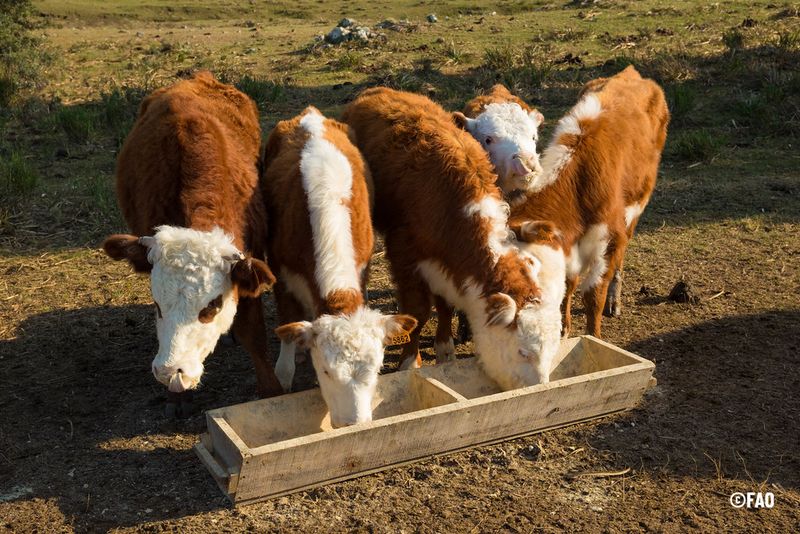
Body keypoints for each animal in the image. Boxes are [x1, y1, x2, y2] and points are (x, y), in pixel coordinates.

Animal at [261, 106, 417, 428]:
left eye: (378, 368)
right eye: (326, 371)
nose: (353, 423)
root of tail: (310, 114)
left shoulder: (364, 267)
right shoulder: (281, 273)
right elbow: (285, 348)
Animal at [342, 87, 562, 391]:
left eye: (551, 351)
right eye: (523, 352)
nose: (541, 386)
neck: (451, 205)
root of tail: (376, 91)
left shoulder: (446, 265)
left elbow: (445, 305)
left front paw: (445, 350)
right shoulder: (405, 258)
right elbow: (418, 312)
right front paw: (410, 362)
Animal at [460, 66, 669, 337]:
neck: (580, 182)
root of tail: (631, 73)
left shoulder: (609, 239)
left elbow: (593, 296)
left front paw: (593, 336)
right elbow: (568, 283)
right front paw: (563, 328)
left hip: (635, 211)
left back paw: (614, 301)